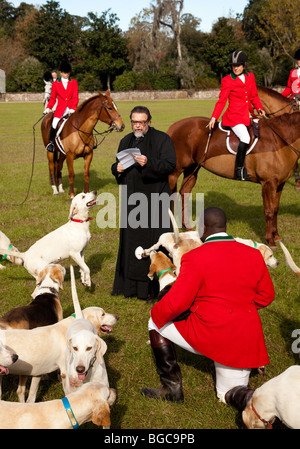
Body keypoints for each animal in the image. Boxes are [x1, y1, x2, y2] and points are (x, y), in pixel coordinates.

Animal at [168, 110, 300, 247]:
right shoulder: (268, 183)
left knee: (185, 193)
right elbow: (269, 211)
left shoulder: (280, 184)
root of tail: (174, 127)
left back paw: (187, 227)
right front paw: (270, 240)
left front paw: (277, 236)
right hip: (174, 172)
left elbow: (275, 209)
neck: (279, 140)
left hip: (192, 169)